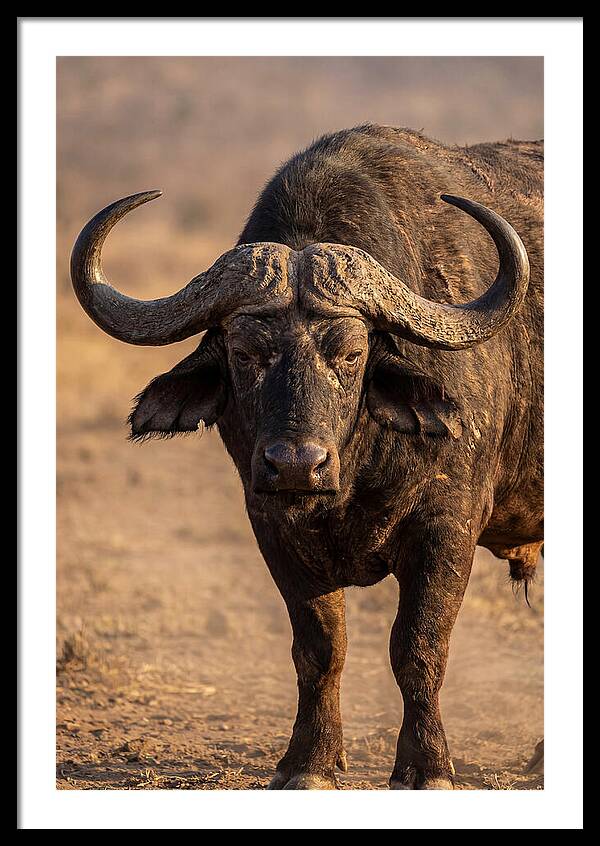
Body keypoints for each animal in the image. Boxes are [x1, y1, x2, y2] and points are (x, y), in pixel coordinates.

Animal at [70, 124, 543, 790]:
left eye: (350, 352)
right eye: (245, 351)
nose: (295, 464)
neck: (353, 472)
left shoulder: (447, 529)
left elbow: (419, 647)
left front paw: (427, 767)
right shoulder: (272, 528)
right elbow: (320, 650)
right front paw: (310, 763)